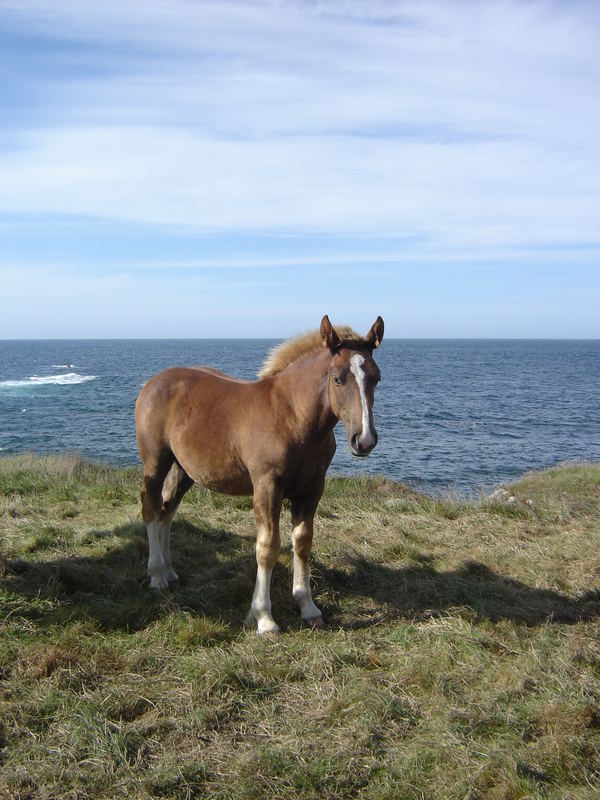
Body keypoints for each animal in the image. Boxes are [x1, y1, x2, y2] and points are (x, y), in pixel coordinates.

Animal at [135, 316, 384, 636]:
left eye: (376, 378)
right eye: (338, 378)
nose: (364, 440)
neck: (293, 416)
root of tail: (153, 382)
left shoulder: (312, 489)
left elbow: (302, 541)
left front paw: (307, 606)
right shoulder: (267, 487)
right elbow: (267, 547)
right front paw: (263, 617)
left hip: (184, 469)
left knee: (168, 510)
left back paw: (169, 571)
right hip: (155, 461)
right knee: (151, 508)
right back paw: (156, 575)